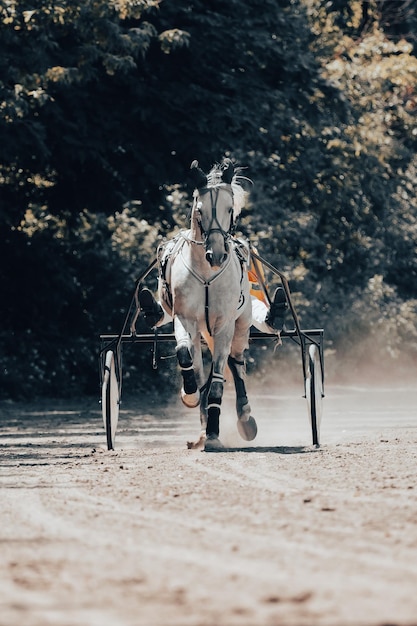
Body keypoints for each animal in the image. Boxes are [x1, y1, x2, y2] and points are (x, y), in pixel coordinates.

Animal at [159, 157, 256, 448]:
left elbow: (218, 381)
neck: (206, 274)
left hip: (241, 324)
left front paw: (214, 434)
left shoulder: (224, 325)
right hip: (202, 330)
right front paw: (190, 395)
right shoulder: (185, 319)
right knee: (200, 367)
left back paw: (244, 417)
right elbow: (184, 354)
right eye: (200, 211)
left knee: (236, 362)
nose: (216, 254)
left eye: (229, 209)